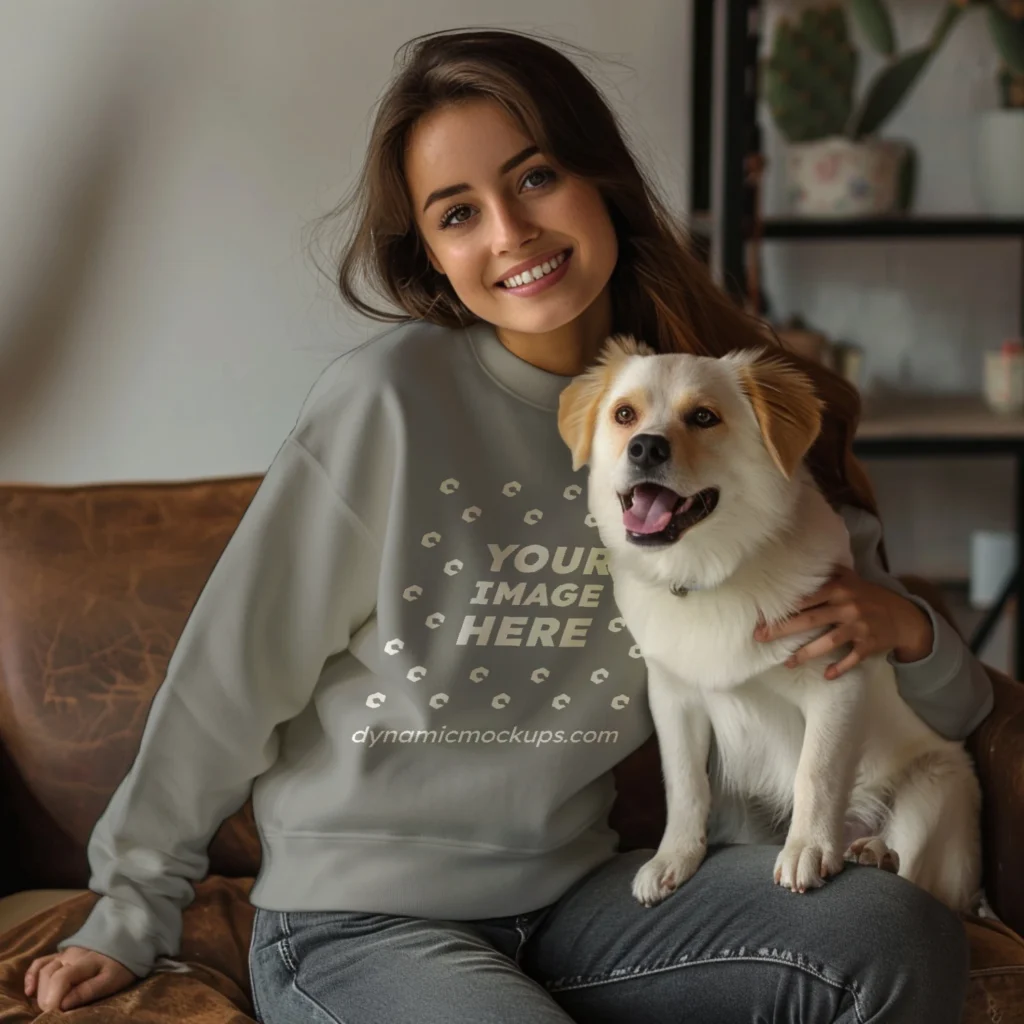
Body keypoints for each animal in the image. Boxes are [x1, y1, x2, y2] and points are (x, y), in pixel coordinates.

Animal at [561, 335, 983, 913]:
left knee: (919, 872)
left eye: (704, 416)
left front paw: (808, 848)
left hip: (934, 790)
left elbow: (816, 774)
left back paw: (872, 852)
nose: (645, 448)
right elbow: (685, 785)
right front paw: (674, 858)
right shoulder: (673, 699)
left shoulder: (835, 681)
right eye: (624, 414)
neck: (710, 573)